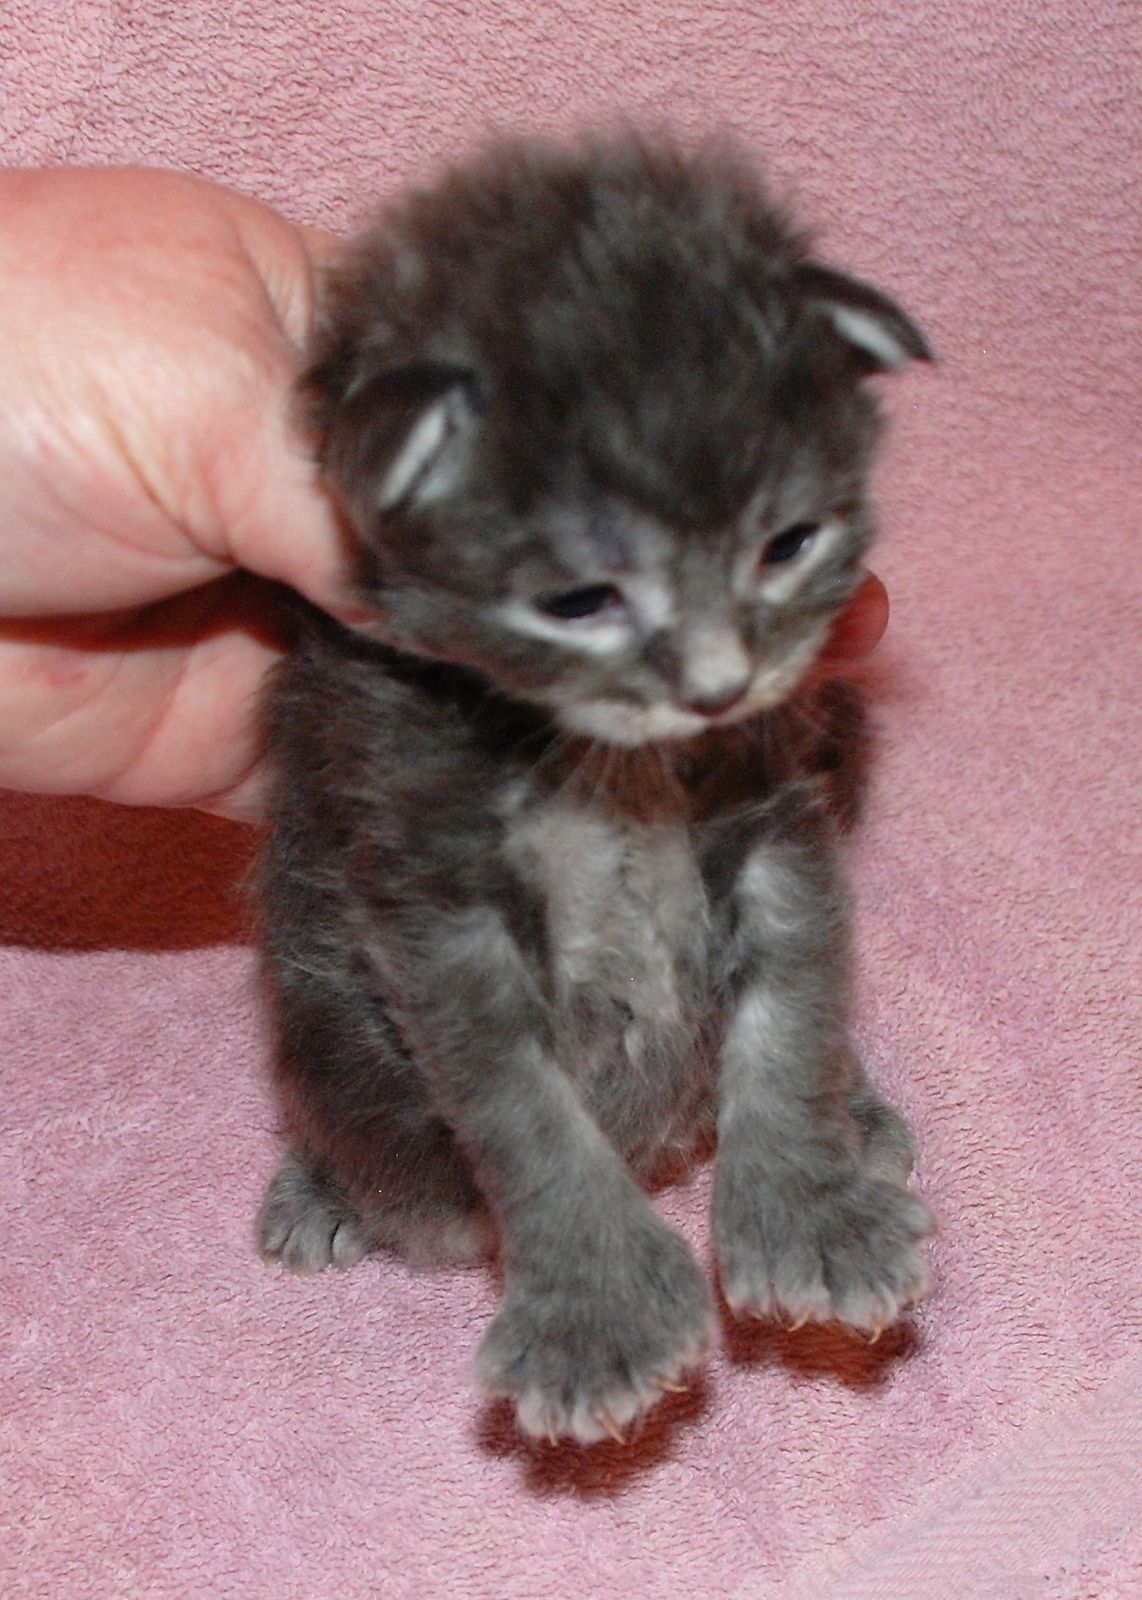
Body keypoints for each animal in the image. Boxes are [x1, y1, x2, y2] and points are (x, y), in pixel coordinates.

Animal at [256, 134, 935, 1447]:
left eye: (786, 542)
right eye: (578, 600)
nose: (717, 685)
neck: (611, 763)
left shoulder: (775, 818)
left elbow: (792, 1007)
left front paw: (807, 1199)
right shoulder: (425, 882)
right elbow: (514, 1101)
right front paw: (596, 1308)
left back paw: (859, 1115)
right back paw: (325, 1185)